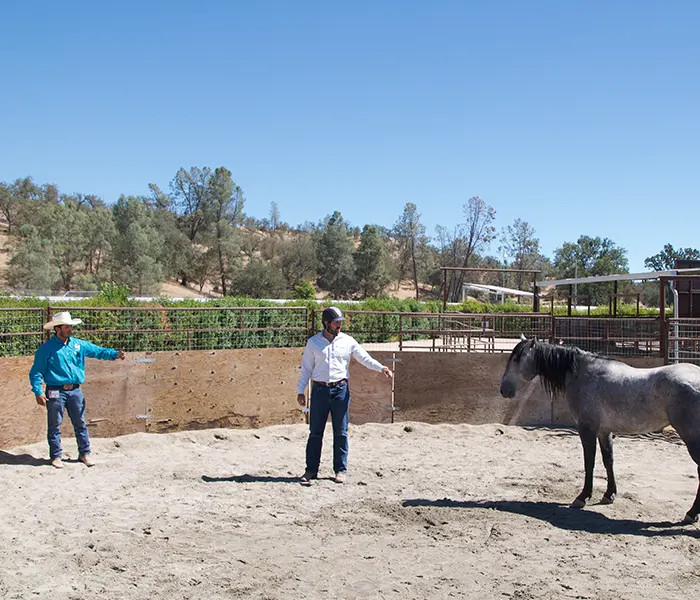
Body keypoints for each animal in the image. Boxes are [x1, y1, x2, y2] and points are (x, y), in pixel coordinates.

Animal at [498, 338, 700, 524]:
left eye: (516, 358)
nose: (504, 390)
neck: (583, 374)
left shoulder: (587, 429)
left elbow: (589, 462)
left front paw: (583, 497)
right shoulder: (604, 432)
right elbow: (608, 461)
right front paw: (609, 495)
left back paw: (691, 514)